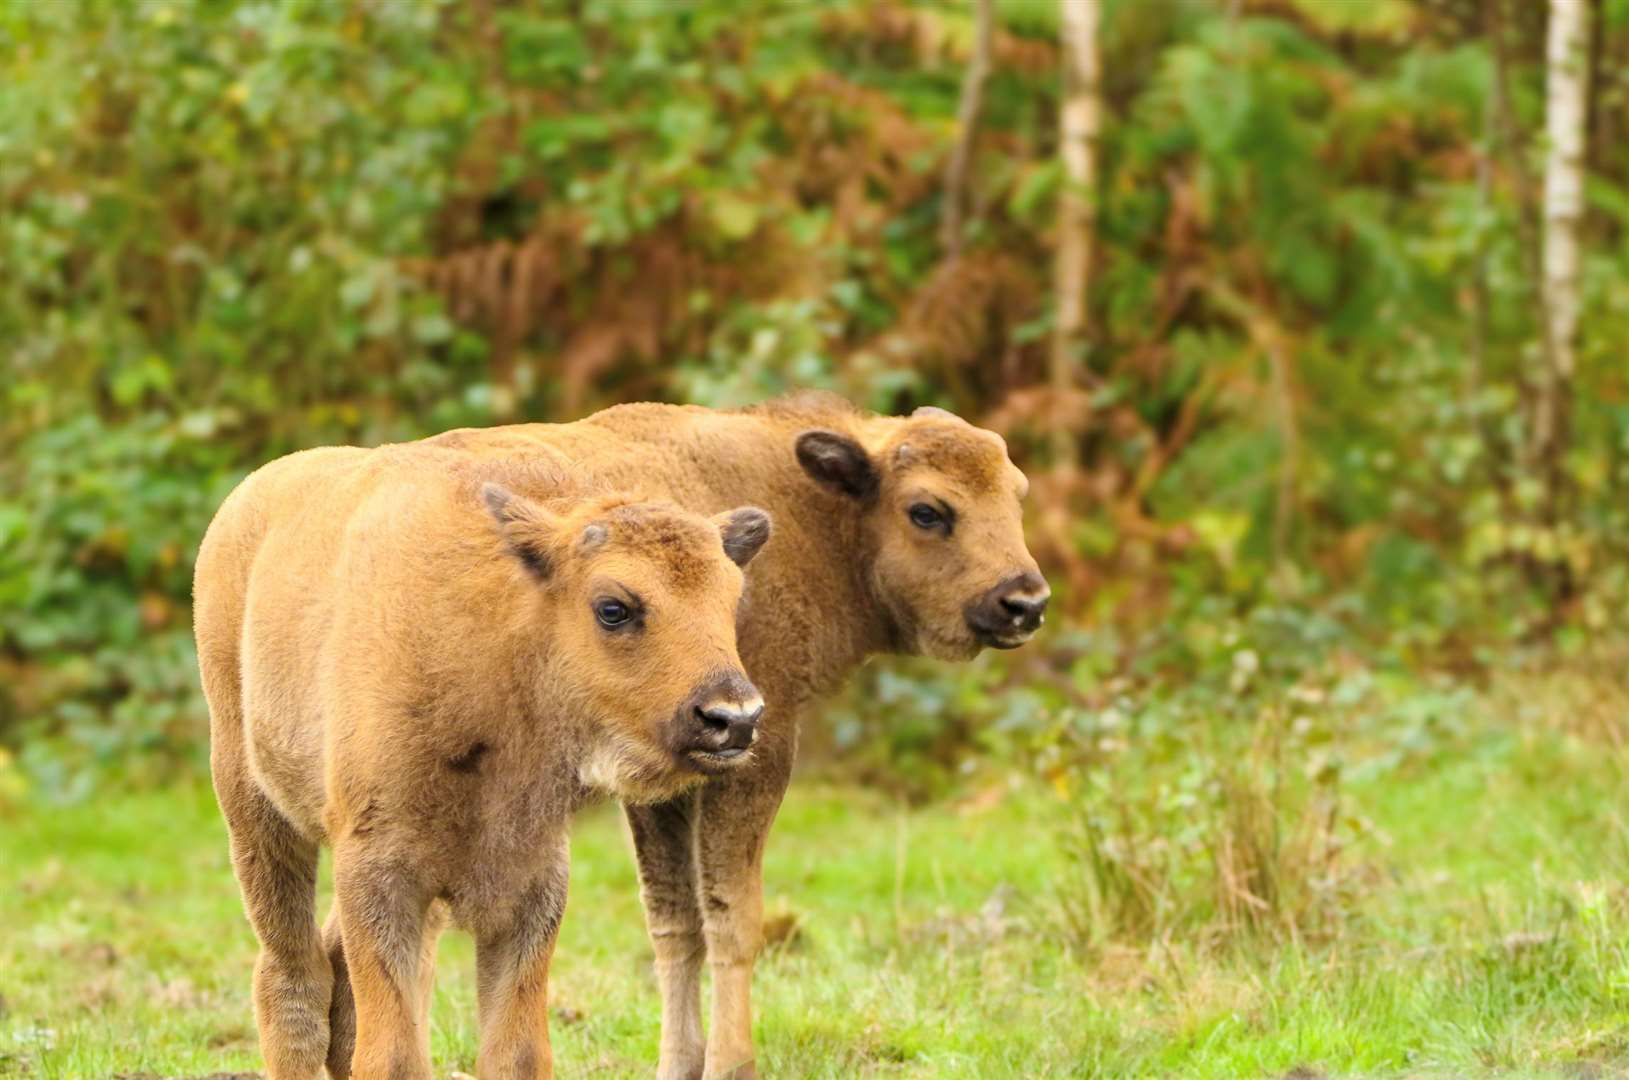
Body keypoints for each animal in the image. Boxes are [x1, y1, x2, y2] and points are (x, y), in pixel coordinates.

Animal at [193, 443, 772, 1075]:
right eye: (613, 608)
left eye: (731, 598)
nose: (734, 716)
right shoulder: (377, 870)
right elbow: (391, 1053)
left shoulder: (530, 880)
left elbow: (515, 1050)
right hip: (255, 809)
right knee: (293, 979)